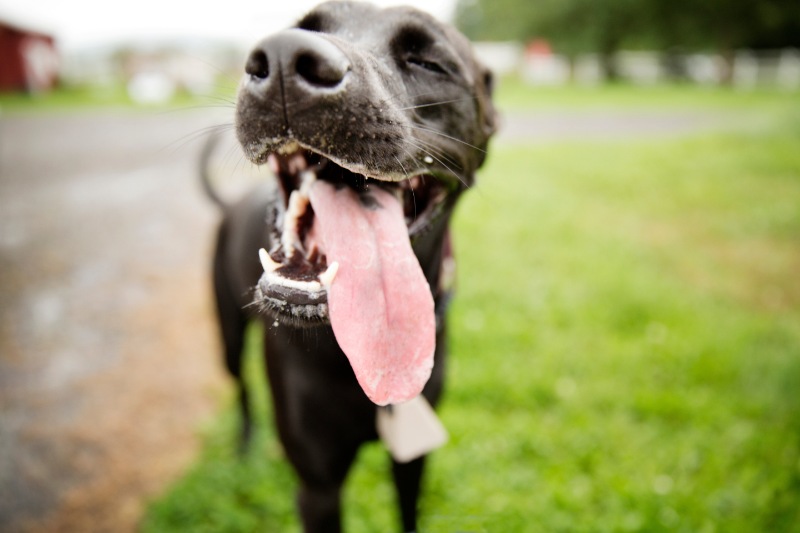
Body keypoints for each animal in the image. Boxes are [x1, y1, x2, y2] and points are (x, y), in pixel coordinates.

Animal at [205, 3, 494, 528]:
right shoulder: (318, 488)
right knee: (240, 391)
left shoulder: (412, 462)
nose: (283, 59)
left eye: (428, 62)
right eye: (303, 28)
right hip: (228, 338)